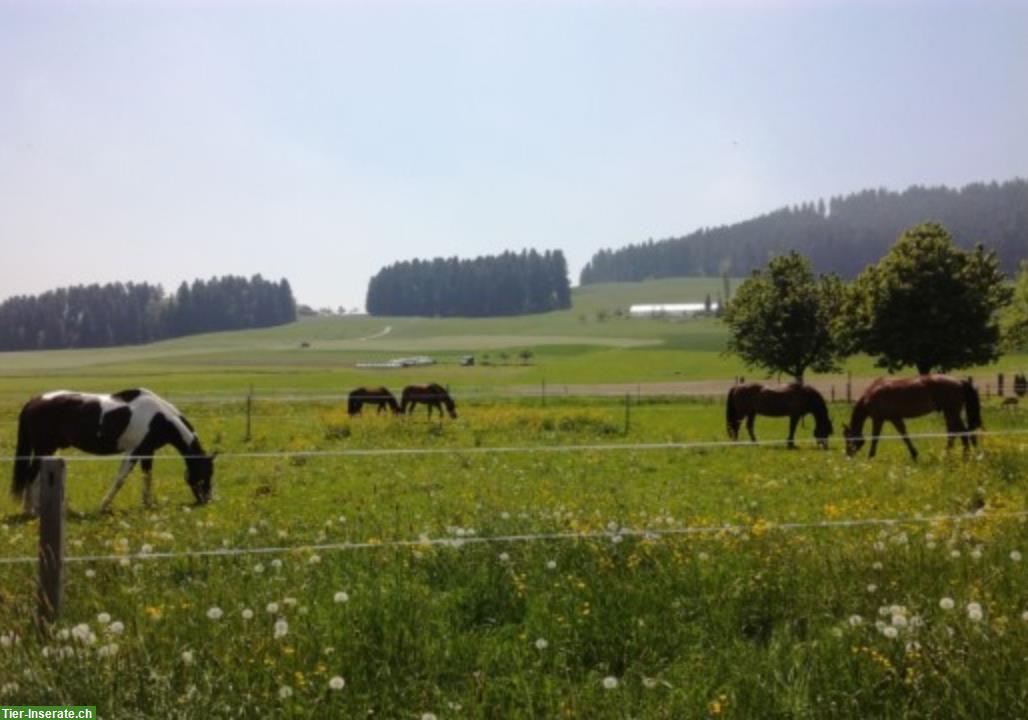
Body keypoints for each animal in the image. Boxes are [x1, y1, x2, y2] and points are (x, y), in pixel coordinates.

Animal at [10, 388, 214, 512]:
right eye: (206, 473)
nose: (207, 500)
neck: (159, 418)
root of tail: (34, 400)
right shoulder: (134, 451)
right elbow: (120, 479)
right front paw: (104, 505)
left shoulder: (147, 452)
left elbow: (147, 477)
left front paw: (148, 503)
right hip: (44, 449)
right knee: (31, 475)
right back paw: (30, 509)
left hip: (48, 451)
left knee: (36, 476)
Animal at [842, 374, 978, 458]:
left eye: (847, 438)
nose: (848, 455)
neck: (871, 394)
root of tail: (959, 381)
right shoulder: (895, 418)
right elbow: (904, 435)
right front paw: (914, 454)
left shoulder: (878, 419)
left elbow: (875, 438)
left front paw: (870, 456)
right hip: (952, 413)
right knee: (961, 432)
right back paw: (964, 456)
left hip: (951, 412)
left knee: (954, 433)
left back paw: (948, 455)